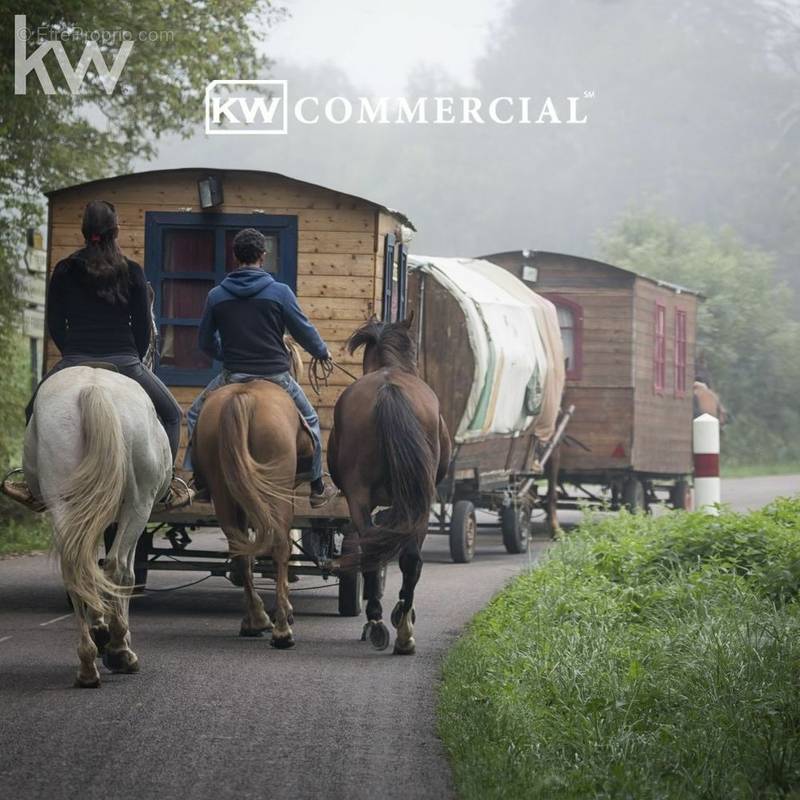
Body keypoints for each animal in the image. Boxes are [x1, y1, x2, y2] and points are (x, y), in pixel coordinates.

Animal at [23, 368, 171, 688]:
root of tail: (93, 389)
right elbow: (120, 572)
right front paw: (114, 639)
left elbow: (92, 566)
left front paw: (100, 629)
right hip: (138, 504)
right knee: (118, 569)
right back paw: (119, 652)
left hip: (64, 502)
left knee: (75, 569)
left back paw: (88, 663)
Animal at [195, 378, 316, 648]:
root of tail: (244, 398)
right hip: (276, 490)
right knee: (280, 546)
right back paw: (281, 630)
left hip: (223, 491)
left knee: (239, 549)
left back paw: (256, 620)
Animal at [324, 316, 450, 652]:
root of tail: (388, 389)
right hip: (416, 500)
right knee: (407, 558)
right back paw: (401, 627)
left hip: (362, 497)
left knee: (376, 548)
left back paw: (380, 622)